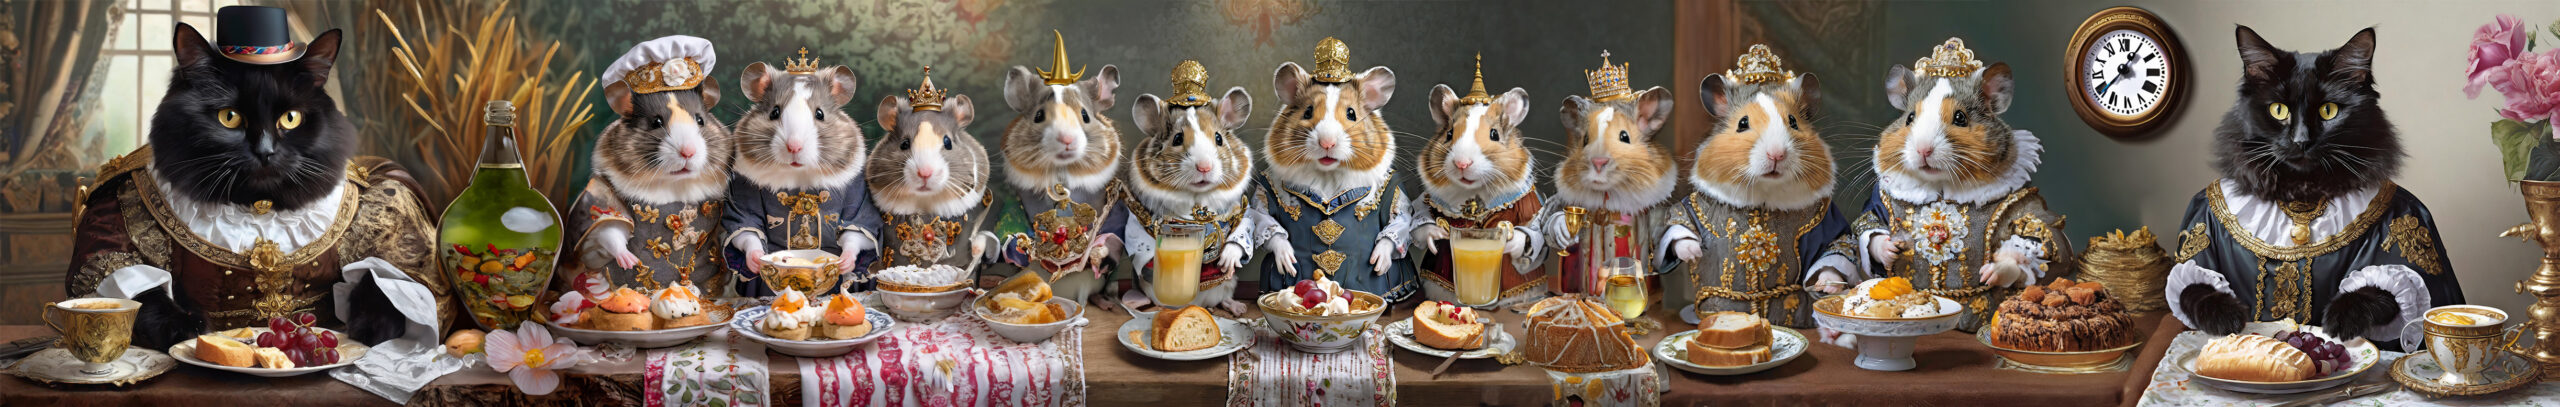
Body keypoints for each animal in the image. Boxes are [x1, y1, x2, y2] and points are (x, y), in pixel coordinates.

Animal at [719, 57, 884, 296]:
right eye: (774, 112)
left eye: (820, 114)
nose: (794, 146)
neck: (798, 174)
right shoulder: (742, 198)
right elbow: (747, 230)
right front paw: (756, 261)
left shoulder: (859, 199)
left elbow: (856, 231)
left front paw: (844, 262)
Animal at [993, 38, 1127, 305]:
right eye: (1038, 115)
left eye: (1085, 115)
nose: (1066, 139)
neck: (1061, 174)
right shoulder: (1014, 204)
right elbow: (1007, 229)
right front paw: (1021, 249)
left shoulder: (1116, 208)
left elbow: (1115, 230)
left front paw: (1099, 255)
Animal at [1122, 60, 1260, 313]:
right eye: (1177, 139)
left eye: (1219, 138)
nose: (1204, 167)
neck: (1198, 199)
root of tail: (1201, 303)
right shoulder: (1137, 222)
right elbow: (1140, 241)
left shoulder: (1241, 213)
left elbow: (1243, 230)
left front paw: (1227, 261)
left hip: (1228, 286)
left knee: (1224, 297)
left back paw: (1238, 307)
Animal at [1252, 37, 1418, 302]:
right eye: (1307, 111)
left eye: (1352, 113)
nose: (1327, 143)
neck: (1327, 175)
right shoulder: (1263, 196)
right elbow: (1267, 224)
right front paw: (1288, 263)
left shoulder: (1396, 196)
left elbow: (1397, 225)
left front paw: (1378, 264)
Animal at [1410, 63, 1549, 308]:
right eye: (1449, 134)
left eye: (1494, 134)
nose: (1462, 163)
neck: (1474, 194)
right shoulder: (1426, 200)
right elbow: (1420, 216)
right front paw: (1435, 235)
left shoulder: (1529, 201)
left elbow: (1531, 229)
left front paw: (1509, 245)